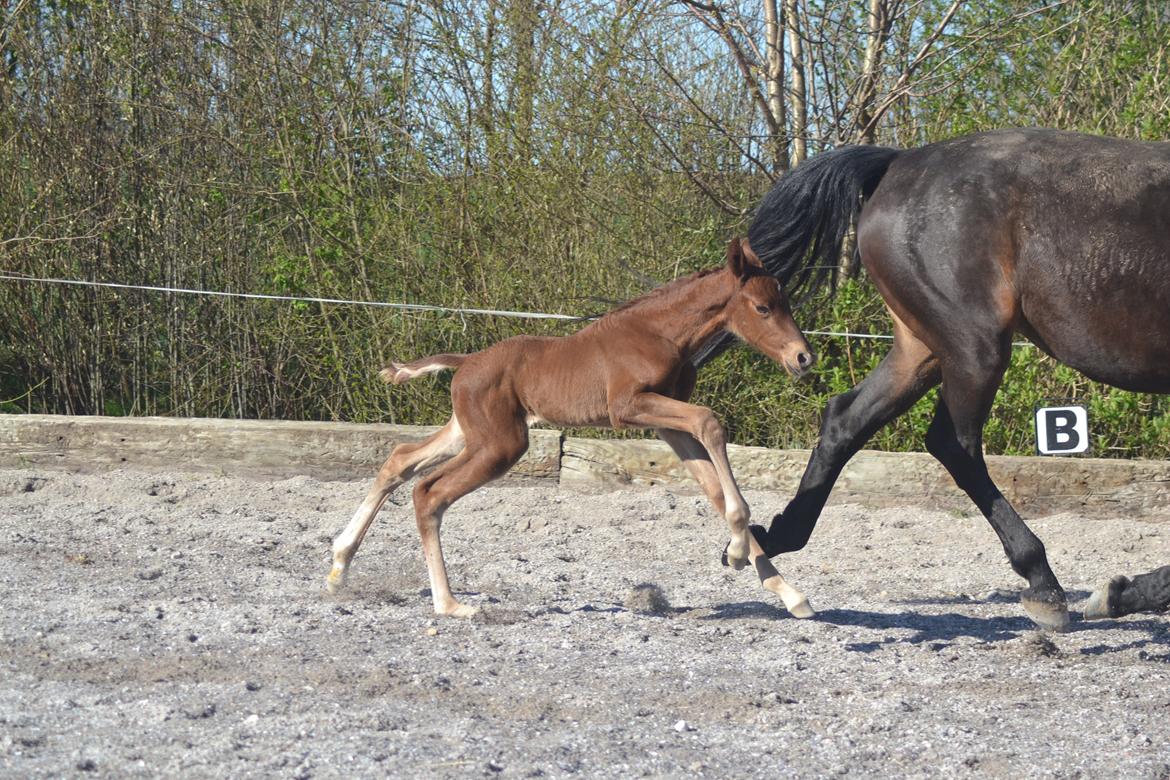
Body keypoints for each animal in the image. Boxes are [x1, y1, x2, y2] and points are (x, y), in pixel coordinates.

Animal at [325, 240, 819, 617]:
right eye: (762, 307)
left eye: (787, 302)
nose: (803, 358)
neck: (660, 333)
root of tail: (466, 362)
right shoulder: (629, 408)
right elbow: (710, 422)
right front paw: (736, 554)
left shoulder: (666, 424)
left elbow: (713, 487)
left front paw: (790, 594)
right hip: (501, 445)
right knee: (428, 492)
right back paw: (448, 604)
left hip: (470, 434)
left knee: (400, 461)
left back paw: (339, 565)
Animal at [739, 126, 1170, 626]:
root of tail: (900, 162)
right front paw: (1123, 592)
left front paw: (1122, 592)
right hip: (974, 347)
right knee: (952, 444)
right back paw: (1042, 581)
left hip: (921, 348)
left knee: (845, 419)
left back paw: (773, 537)